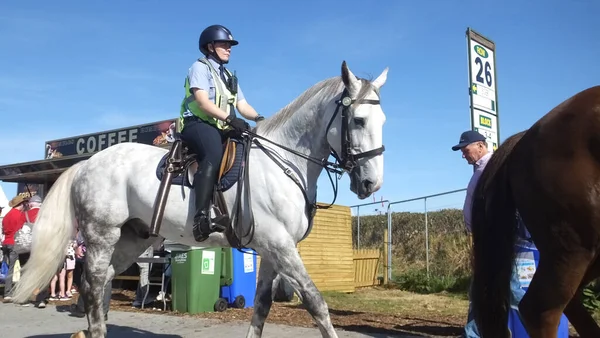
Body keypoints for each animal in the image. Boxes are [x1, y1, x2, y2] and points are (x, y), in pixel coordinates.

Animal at [12, 60, 390, 338]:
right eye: (358, 120)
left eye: (383, 120)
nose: (371, 183)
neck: (283, 160)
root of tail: (88, 162)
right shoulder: (281, 245)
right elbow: (316, 303)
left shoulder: (272, 249)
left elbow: (261, 308)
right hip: (102, 234)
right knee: (91, 287)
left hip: (133, 238)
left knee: (103, 283)